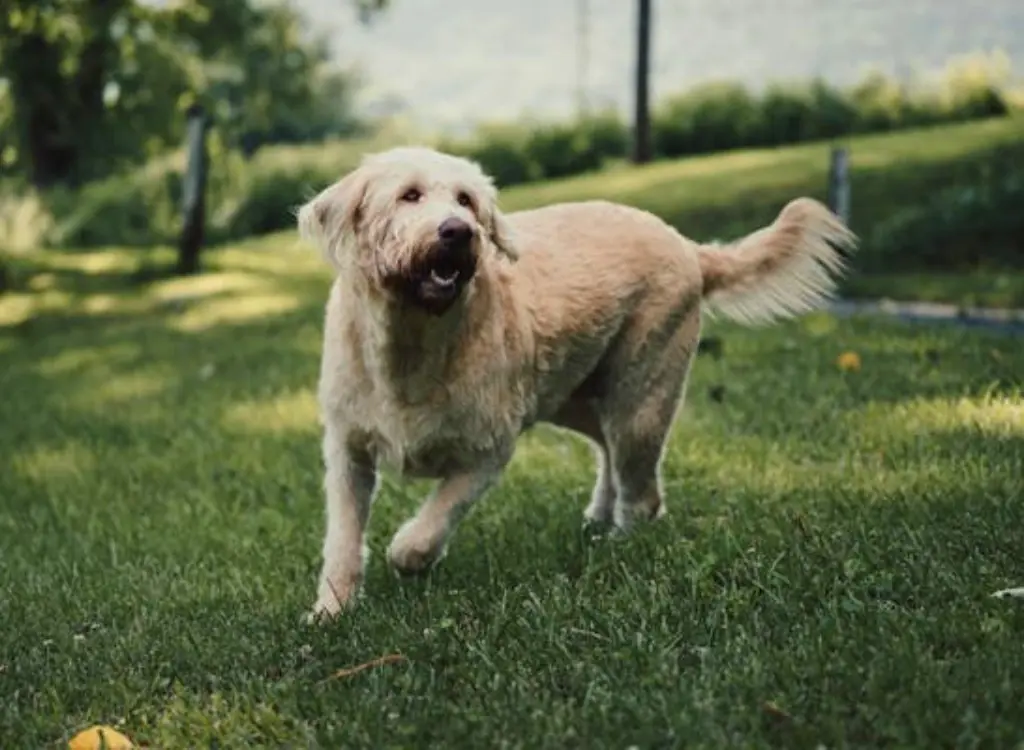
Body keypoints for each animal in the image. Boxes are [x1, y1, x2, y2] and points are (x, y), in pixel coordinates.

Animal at [296, 143, 856, 618]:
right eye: (409, 194)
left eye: (467, 200)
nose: (459, 231)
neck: (412, 340)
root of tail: (689, 246)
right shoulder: (347, 452)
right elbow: (342, 538)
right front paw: (331, 611)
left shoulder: (487, 453)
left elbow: (435, 519)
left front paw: (409, 553)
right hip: (574, 398)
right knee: (607, 451)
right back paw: (598, 516)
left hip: (640, 399)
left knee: (641, 490)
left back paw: (621, 546)